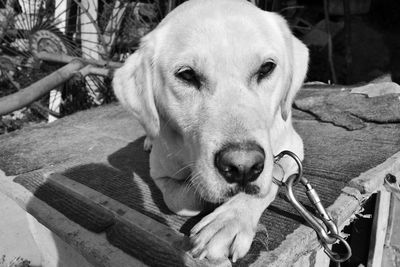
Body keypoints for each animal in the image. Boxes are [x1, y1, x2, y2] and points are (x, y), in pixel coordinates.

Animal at [112, 0, 310, 264]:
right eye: (186, 75)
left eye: (266, 68)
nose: (243, 167)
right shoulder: (160, 173)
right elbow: (183, 199)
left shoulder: (292, 148)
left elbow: (271, 177)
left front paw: (228, 221)